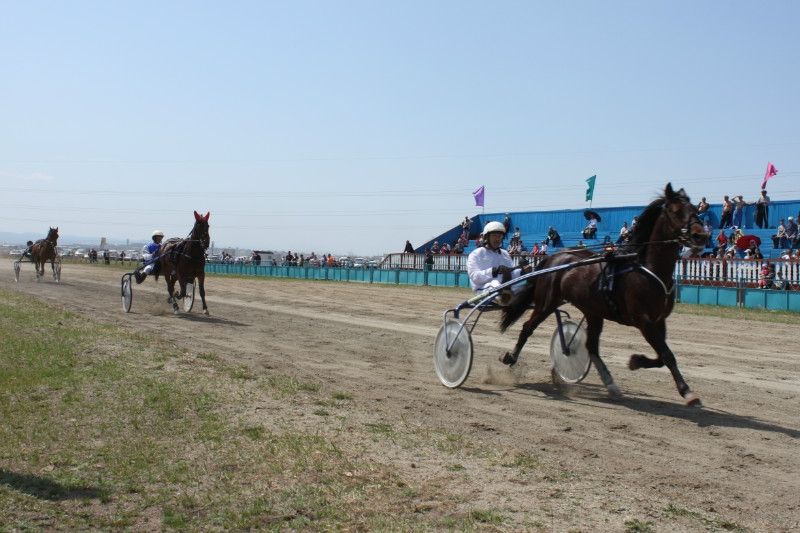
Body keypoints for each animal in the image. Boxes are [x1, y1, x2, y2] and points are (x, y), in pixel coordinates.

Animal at [500, 185, 708, 406]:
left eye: (695, 209)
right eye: (675, 211)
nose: (701, 236)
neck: (649, 269)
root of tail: (555, 256)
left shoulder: (659, 320)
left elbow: (662, 356)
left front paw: (636, 361)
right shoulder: (643, 320)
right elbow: (667, 354)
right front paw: (687, 392)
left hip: (592, 311)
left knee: (591, 346)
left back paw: (610, 383)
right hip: (546, 303)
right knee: (527, 327)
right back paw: (511, 357)